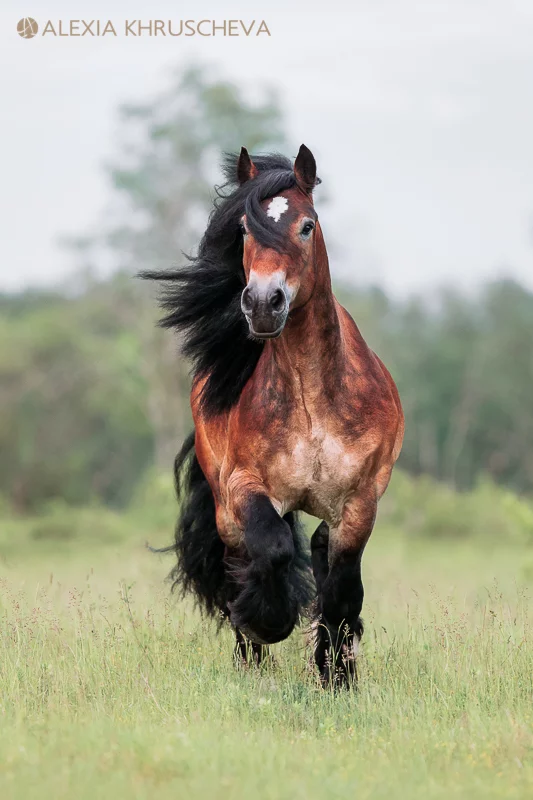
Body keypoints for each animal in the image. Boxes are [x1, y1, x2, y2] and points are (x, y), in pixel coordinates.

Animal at [142, 147, 404, 684]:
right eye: (244, 228)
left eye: (307, 225)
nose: (264, 303)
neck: (312, 398)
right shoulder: (247, 487)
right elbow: (275, 549)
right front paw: (269, 622)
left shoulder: (359, 502)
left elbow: (343, 590)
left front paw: (336, 677)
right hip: (226, 511)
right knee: (239, 564)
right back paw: (251, 659)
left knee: (322, 557)